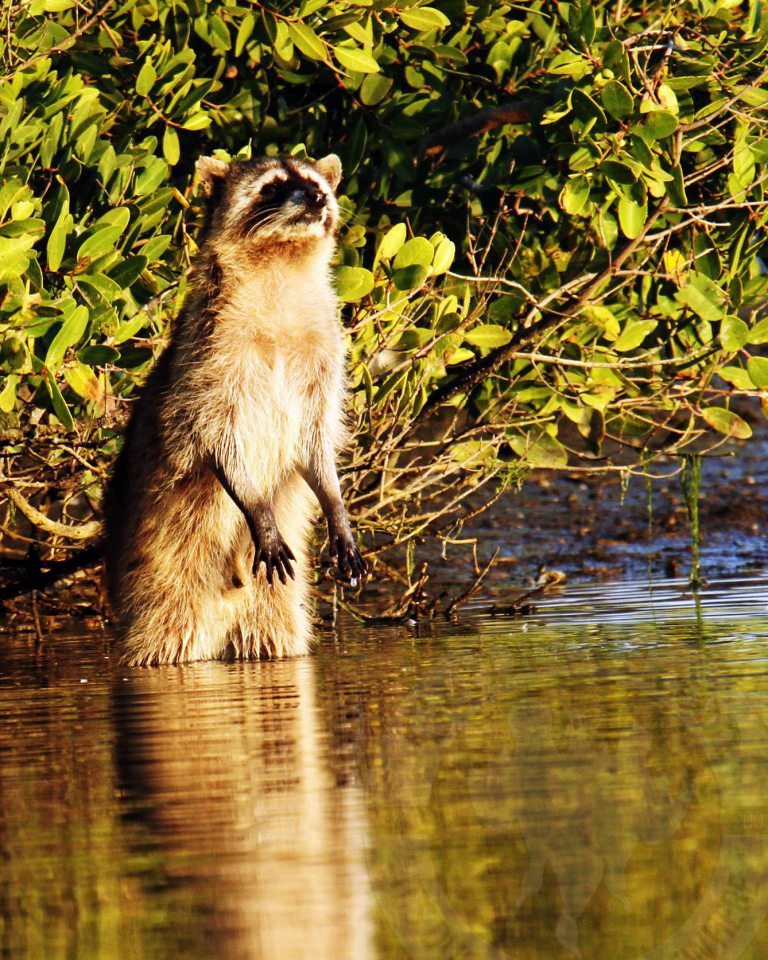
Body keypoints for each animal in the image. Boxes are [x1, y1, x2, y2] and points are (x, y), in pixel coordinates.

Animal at [103, 154, 366, 664]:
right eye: (273, 186)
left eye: (314, 182)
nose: (317, 197)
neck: (282, 262)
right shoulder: (210, 354)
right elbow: (215, 435)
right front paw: (257, 506)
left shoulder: (323, 356)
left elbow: (316, 441)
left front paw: (336, 506)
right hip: (161, 575)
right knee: (160, 638)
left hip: (271, 604)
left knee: (278, 631)